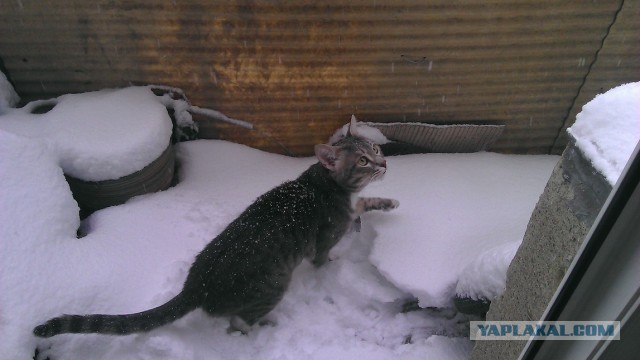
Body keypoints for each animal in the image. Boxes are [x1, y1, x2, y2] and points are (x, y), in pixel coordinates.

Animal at [33, 116, 400, 338]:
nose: (384, 162)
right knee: (241, 322)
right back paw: (266, 327)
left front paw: (388, 203)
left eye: (376, 148)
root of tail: (195, 286)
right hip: (273, 284)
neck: (327, 183)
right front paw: (336, 265)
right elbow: (326, 256)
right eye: (363, 161)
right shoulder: (325, 240)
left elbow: (364, 203)